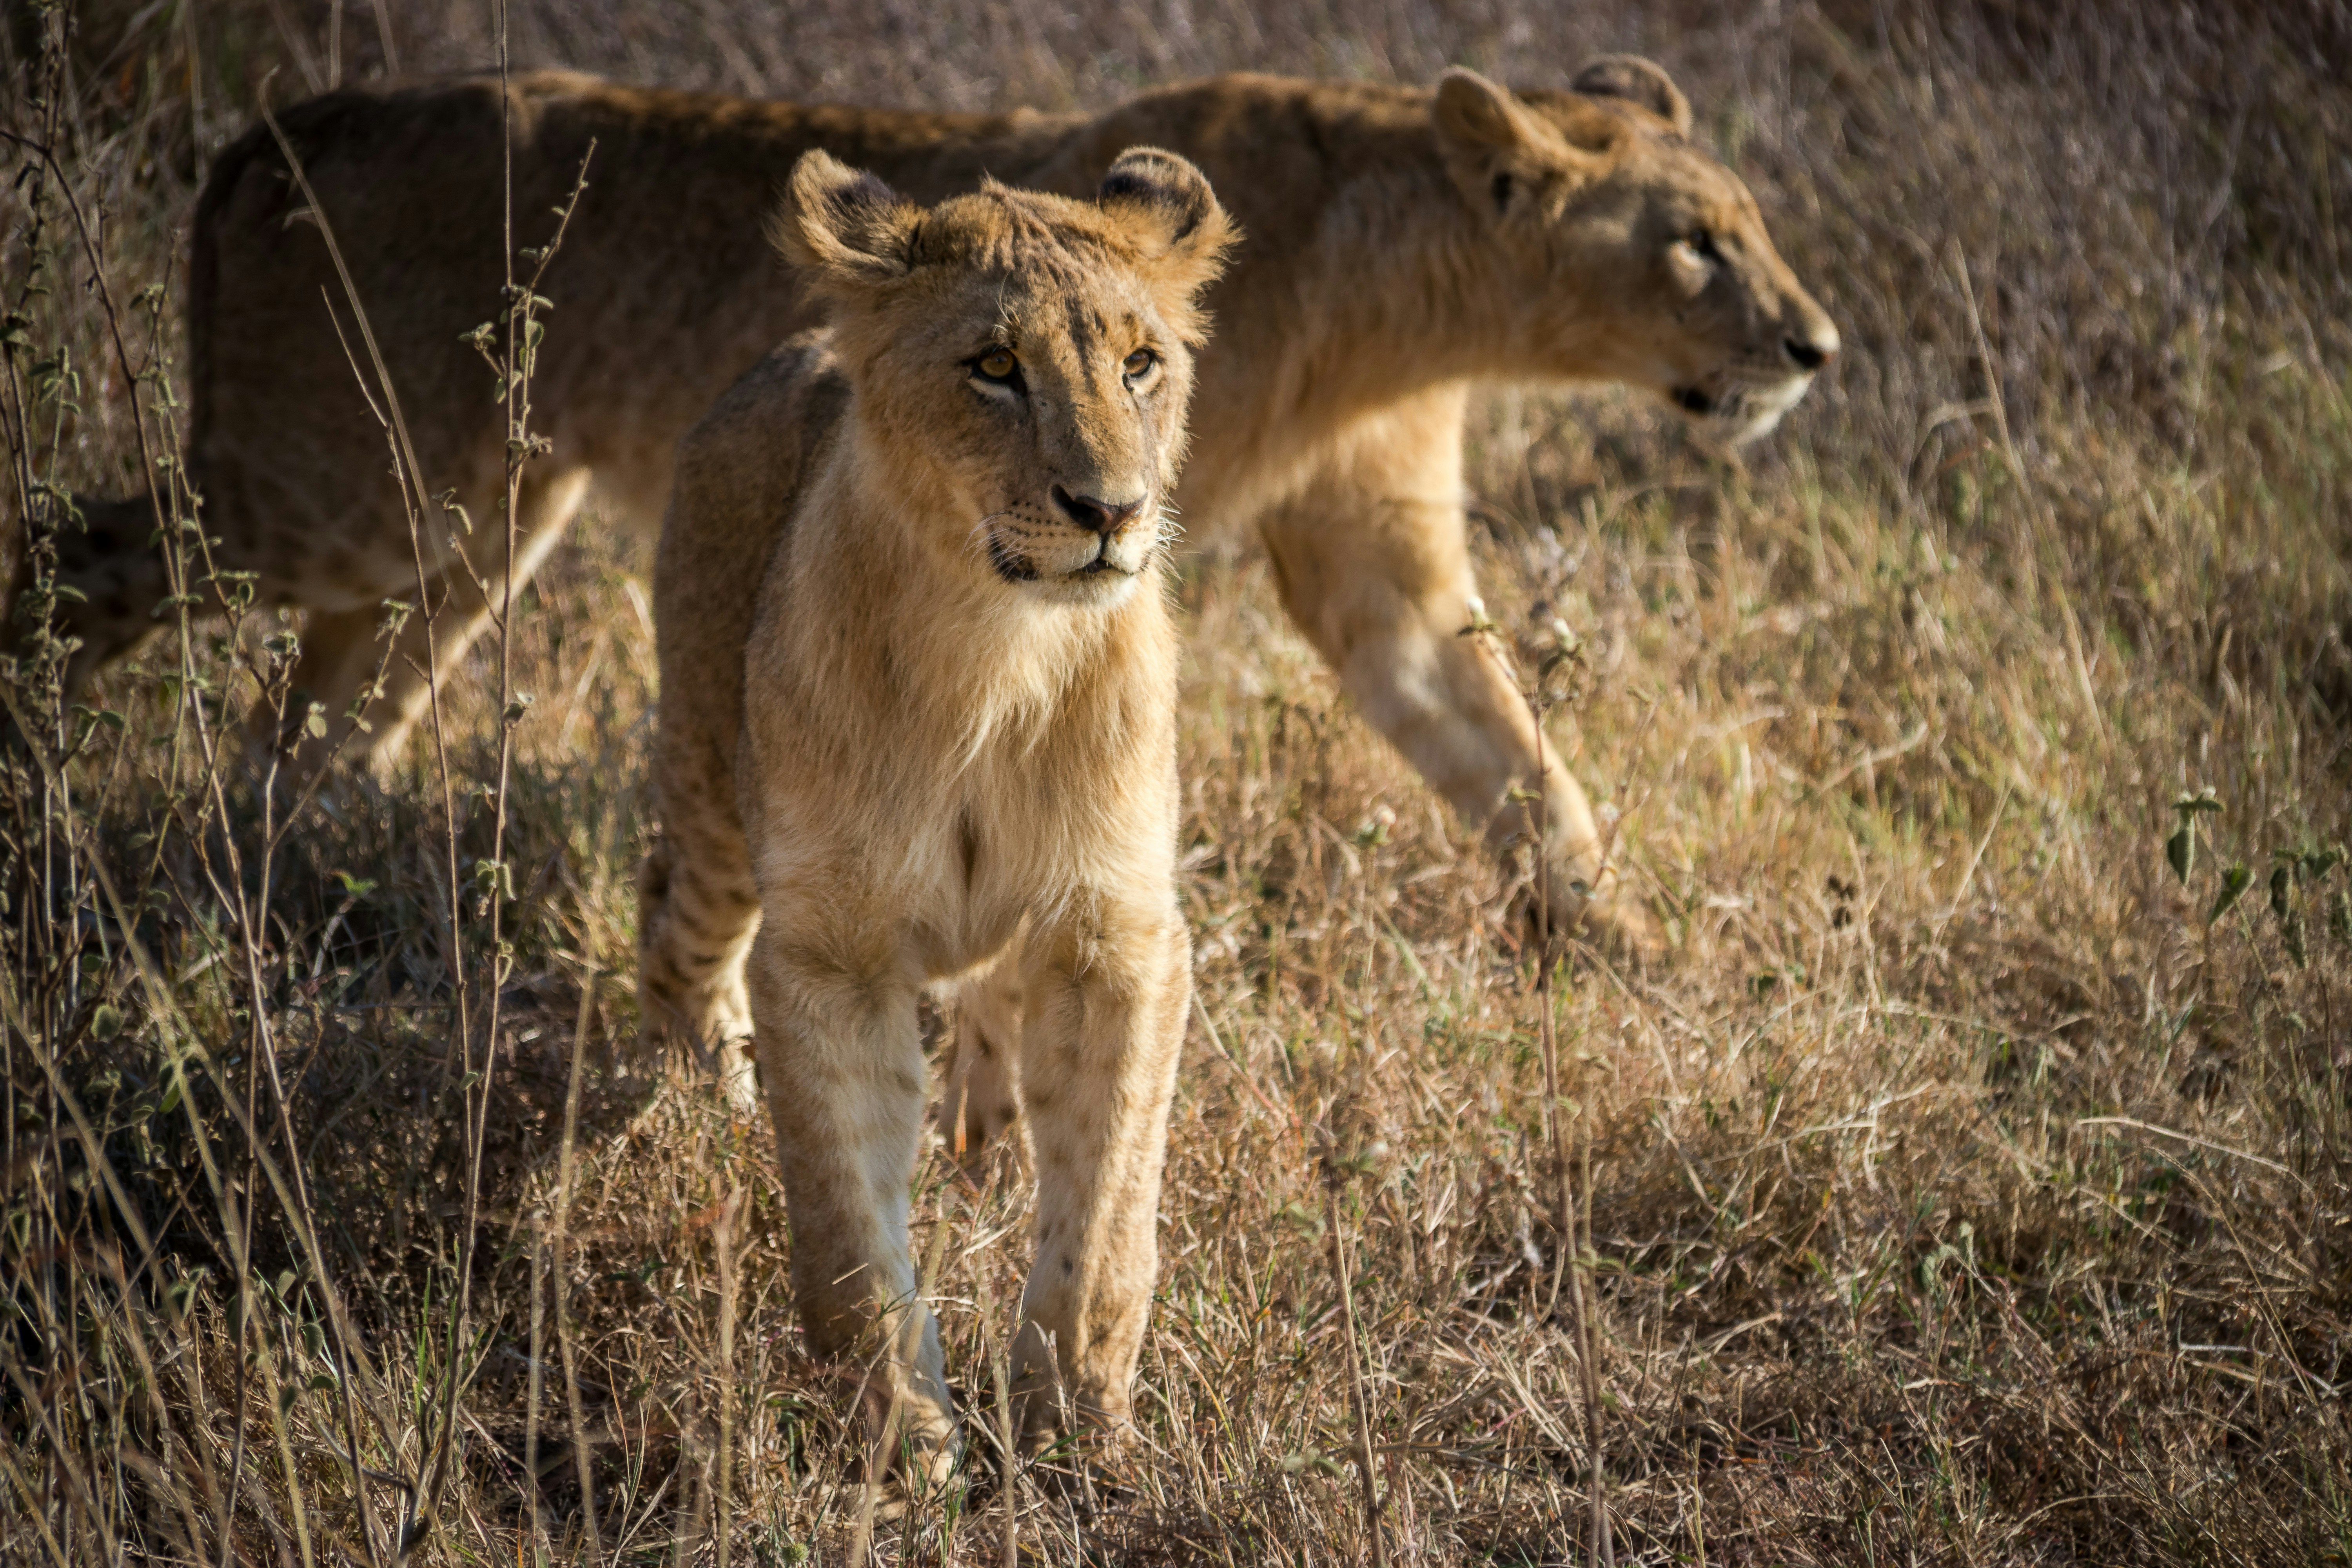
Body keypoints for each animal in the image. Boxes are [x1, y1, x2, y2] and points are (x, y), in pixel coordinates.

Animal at [45, 60, 1834, 972]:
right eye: (1691, 244)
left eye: (1748, 223)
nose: (1815, 347)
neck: (1405, 293)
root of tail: (258, 134)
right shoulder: (1078, 545)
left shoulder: (1379, 562)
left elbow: (1516, 762)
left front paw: (1632, 950)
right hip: (339, 488)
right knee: (88, 559)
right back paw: (60, 824)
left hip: (468, 527)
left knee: (310, 728)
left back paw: (290, 891)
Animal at [637, 145, 1231, 1463]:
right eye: (994, 369)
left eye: (1140, 364)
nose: (1111, 512)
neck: (992, 657)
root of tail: (804, 344)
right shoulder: (830, 955)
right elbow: (847, 1238)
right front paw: (899, 1444)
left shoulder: (1117, 933)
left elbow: (1104, 1213)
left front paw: (1072, 1426)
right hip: (711, 797)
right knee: (673, 938)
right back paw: (711, 1105)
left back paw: (984, 1146)